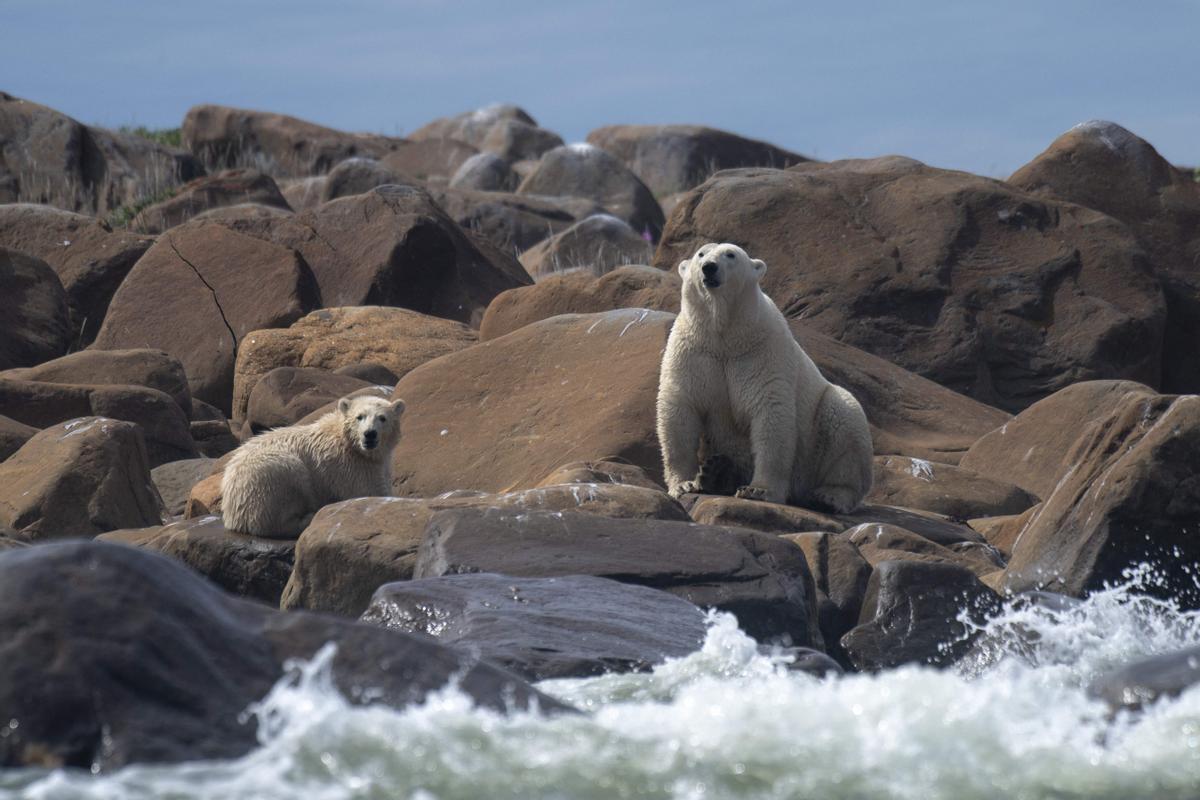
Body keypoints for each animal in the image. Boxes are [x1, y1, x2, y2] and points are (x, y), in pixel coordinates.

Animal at [217, 393, 403, 537]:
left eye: (382, 418)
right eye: (360, 416)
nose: (369, 434)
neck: (347, 441)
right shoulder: (348, 467)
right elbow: (368, 493)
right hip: (268, 476)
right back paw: (307, 518)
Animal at [657, 241, 873, 513]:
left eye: (731, 254)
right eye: (701, 254)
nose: (709, 268)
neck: (725, 336)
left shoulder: (762, 352)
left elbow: (770, 413)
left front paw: (758, 490)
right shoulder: (694, 353)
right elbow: (680, 409)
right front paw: (685, 484)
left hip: (819, 434)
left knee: (845, 423)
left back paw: (829, 496)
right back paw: (715, 473)